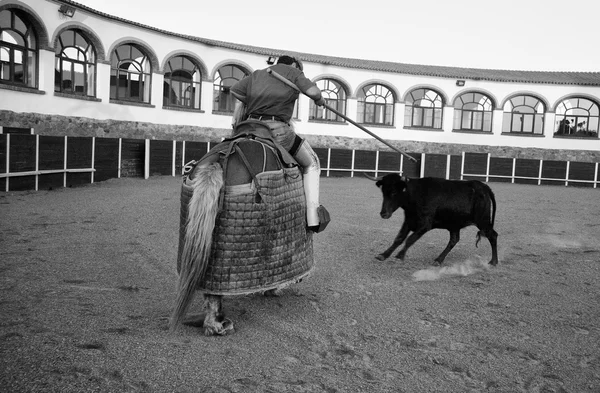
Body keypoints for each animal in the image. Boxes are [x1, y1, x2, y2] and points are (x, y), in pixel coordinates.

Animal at [370, 175, 502, 264]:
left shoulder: (424, 225)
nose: (383, 213)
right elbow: (399, 239)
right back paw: (438, 260)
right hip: (455, 224)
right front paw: (383, 255)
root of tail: (485, 187)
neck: (416, 194)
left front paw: (400, 255)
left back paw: (493, 261)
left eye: (394, 192)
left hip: (483, 221)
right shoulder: (408, 221)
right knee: (454, 240)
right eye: (383, 192)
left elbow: (410, 239)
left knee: (493, 235)